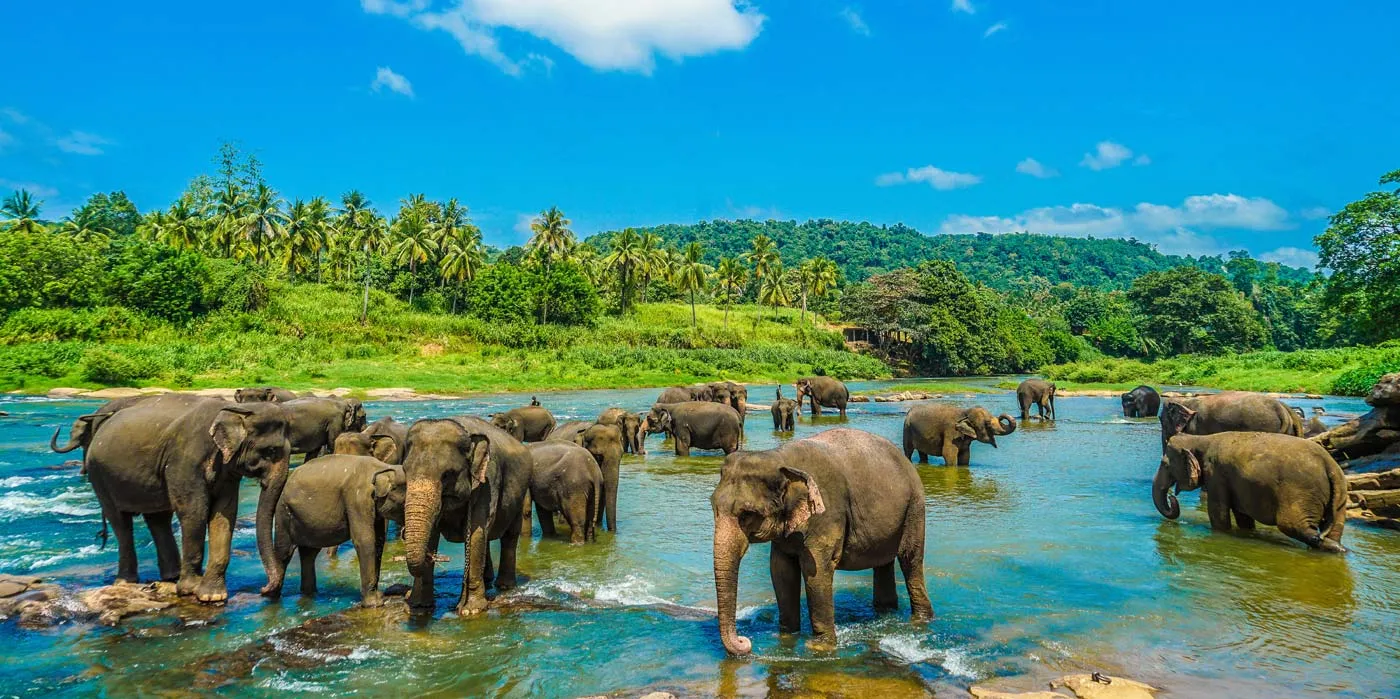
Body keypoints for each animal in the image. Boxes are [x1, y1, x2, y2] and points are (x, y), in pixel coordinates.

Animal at [84, 394, 291, 602]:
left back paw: (171, 576)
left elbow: (224, 513)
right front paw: (191, 589)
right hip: (98, 475)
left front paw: (212, 596)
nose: (264, 589)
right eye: (271, 451)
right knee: (121, 522)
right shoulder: (185, 460)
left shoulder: (226, 471)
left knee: (158, 519)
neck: (234, 408)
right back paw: (126, 582)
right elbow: (194, 511)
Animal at [263, 455, 406, 605]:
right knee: (285, 553)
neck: (383, 467)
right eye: (405, 503)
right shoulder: (356, 499)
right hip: (283, 512)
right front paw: (374, 604)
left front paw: (379, 597)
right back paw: (274, 598)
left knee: (309, 553)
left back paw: (309, 594)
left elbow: (379, 541)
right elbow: (365, 540)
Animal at [400, 416, 531, 614]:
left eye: (447, 474)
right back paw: (487, 579)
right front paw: (418, 607)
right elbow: (433, 534)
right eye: (405, 471)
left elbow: (476, 532)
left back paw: (504, 586)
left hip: (520, 496)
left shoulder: (488, 481)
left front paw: (471, 610)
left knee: (509, 537)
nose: (432, 557)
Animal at [712, 428, 932, 656]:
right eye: (713, 507)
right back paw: (885, 612)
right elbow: (781, 571)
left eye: (747, 514)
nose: (745, 642)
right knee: (883, 564)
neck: (779, 457)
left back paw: (920, 619)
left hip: (915, 507)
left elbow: (816, 572)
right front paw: (786, 637)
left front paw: (819, 647)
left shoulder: (827, 514)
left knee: (910, 560)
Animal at [1154, 432, 1348, 552]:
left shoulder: (1216, 475)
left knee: (1296, 527)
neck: (1200, 439)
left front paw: (1222, 533)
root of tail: (1329, 465)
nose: (1172, 496)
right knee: (1334, 529)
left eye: (1165, 464)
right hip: (1339, 496)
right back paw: (1338, 548)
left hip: (1300, 493)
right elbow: (1243, 518)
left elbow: (1219, 514)